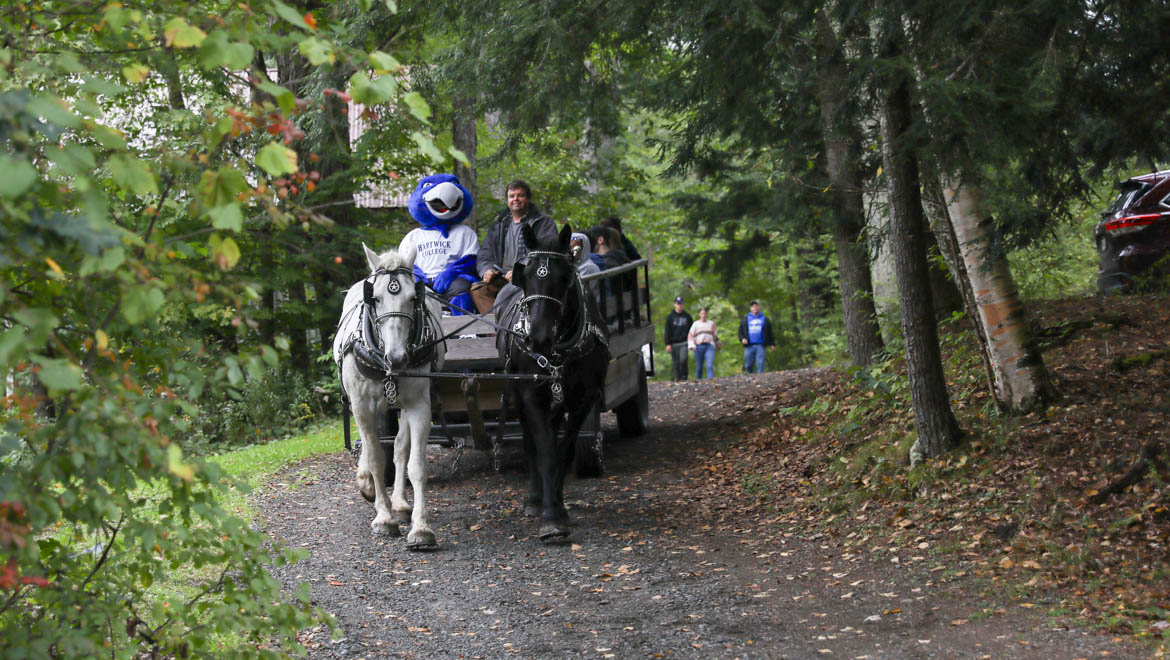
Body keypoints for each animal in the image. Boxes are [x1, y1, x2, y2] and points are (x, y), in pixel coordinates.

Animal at [332, 244, 444, 550]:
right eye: (376, 298)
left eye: (412, 298)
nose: (397, 357)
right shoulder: (361, 406)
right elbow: (374, 459)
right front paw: (383, 518)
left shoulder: (419, 405)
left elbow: (415, 463)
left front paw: (420, 528)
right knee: (372, 447)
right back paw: (369, 485)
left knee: (399, 447)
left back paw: (401, 504)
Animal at [500, 221, 613, 540]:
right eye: (524, 275)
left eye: (564, 277)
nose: (538, 339)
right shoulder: (532, 396)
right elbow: (545, 453)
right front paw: (549, 518)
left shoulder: (584, 399)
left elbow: (564, 451)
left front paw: (559, 510)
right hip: (517, 394)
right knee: (531, 443)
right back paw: (535, 500)